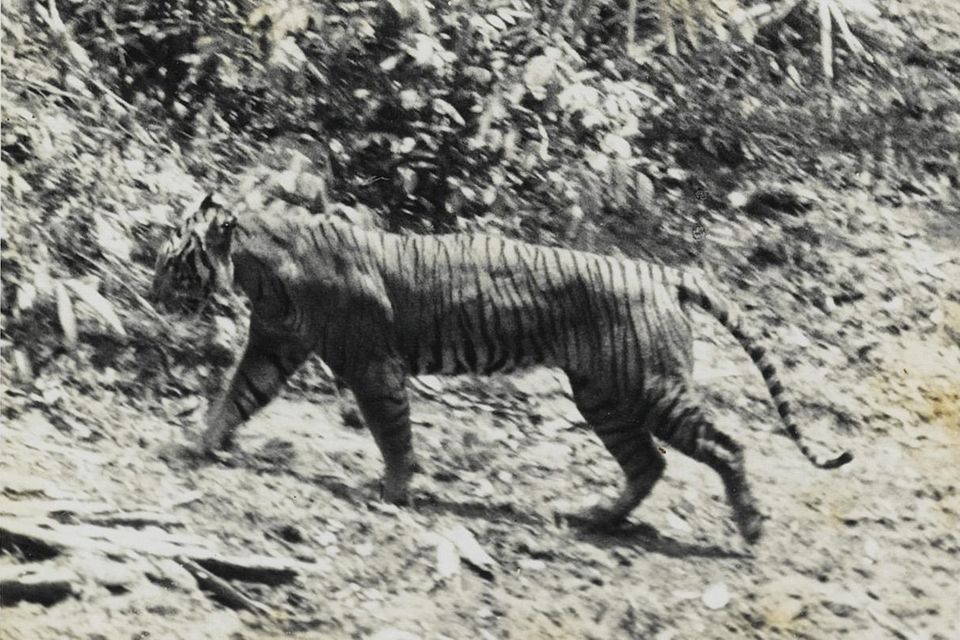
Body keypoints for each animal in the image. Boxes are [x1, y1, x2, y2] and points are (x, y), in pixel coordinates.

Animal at [154, 192, 852, 544]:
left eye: (171, 260)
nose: (153, 289)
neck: (259, 270)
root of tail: (660, 270)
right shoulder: (273, 346)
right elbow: (236, 397)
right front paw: (198, 445)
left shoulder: (372, 365)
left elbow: (391, 431)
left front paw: (394, 492)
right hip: (602, 396)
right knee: (647, 463)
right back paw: (597, 519)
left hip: (652, 388)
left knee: (726, 445)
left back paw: (751, 527)